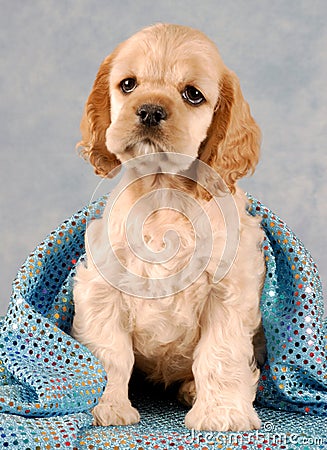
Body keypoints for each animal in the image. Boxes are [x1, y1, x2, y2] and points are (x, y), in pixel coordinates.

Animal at [72, 22, 266, 430]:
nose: (149, 111)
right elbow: (111, 352)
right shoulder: (101, 289)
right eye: (128, 84)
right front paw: (107, 408)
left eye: (193, 94)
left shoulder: (227, 292)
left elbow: (219, 354)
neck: (163, 192)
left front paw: (220, 413)